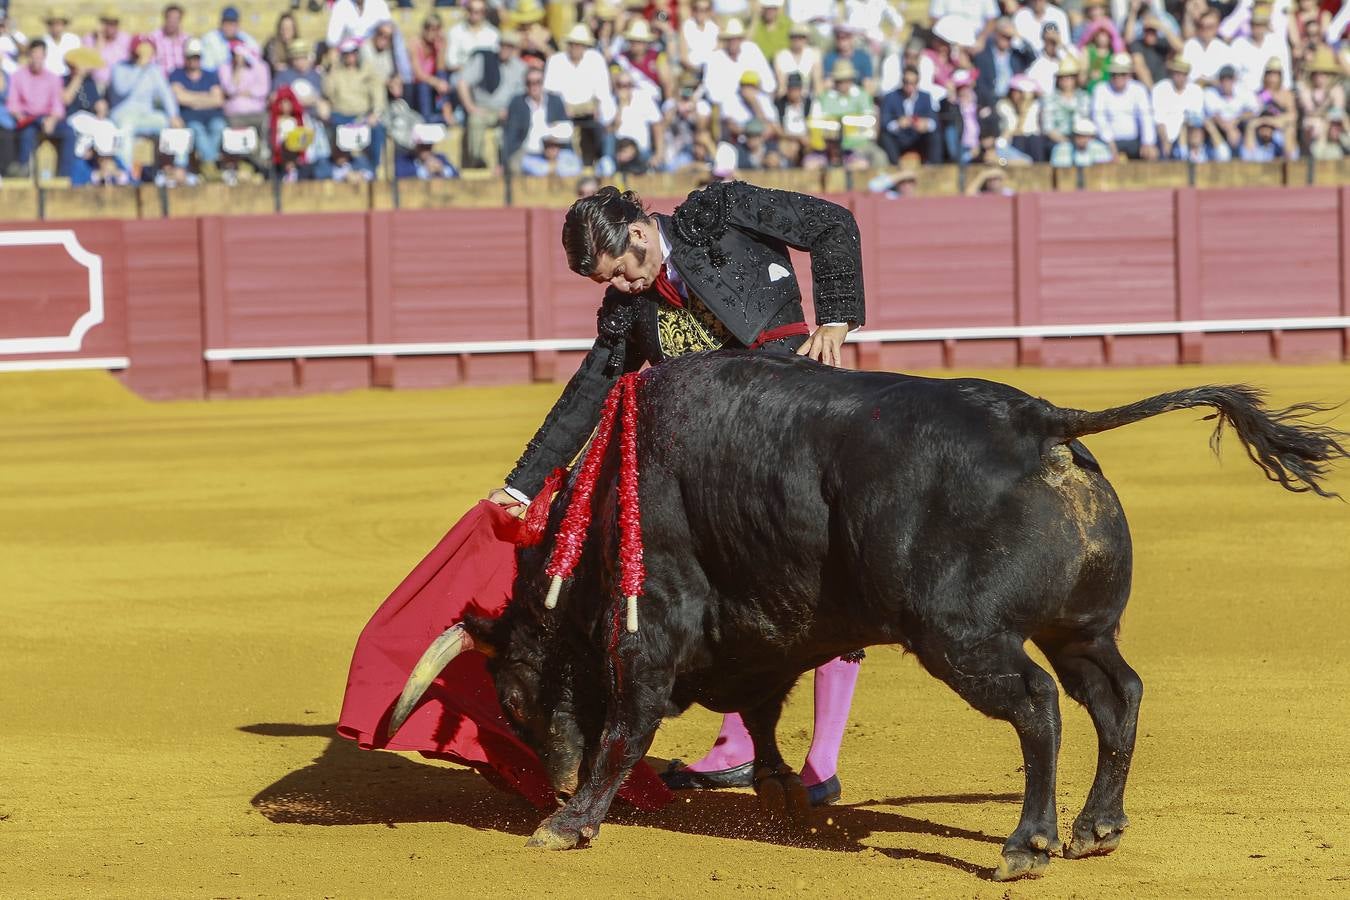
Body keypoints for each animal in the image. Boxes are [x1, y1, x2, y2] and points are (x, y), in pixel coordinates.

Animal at [386, 350, 1344, 879]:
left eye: (513, 698)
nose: (552, 783)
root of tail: (1040, 421)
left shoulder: (651, 631)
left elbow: (629, 723)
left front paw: (569, 824)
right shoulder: (766, 634)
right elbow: (762, 710)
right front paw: (781, 790)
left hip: (960, 636)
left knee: (1037, 705)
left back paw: (1026, 844)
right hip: (1080, 629)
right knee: (1117, 696)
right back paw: (1095, 828)